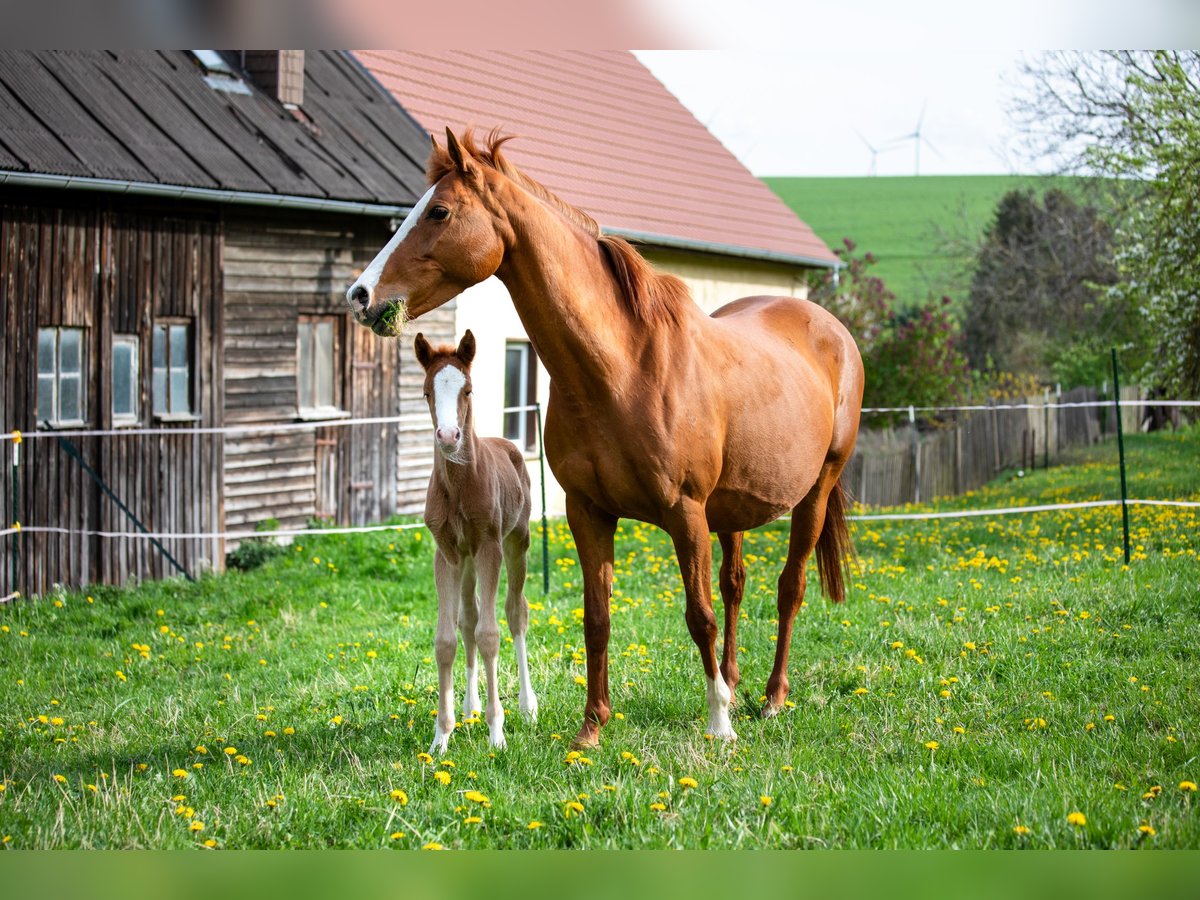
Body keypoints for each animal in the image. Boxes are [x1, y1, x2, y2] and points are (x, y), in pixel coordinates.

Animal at [417, 331, 540, 753]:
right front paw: (441, 737)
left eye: (467, 390)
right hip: (468, 559)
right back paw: (470, 708)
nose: (448, 436)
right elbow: (447, 639)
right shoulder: (446, 553)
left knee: (516, 613)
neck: (459, 485)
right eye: (426, 392)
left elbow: (490, 634)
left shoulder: (490, 547)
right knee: (468, 618)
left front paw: (496, 732)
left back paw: (527, 706)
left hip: (518, 542)